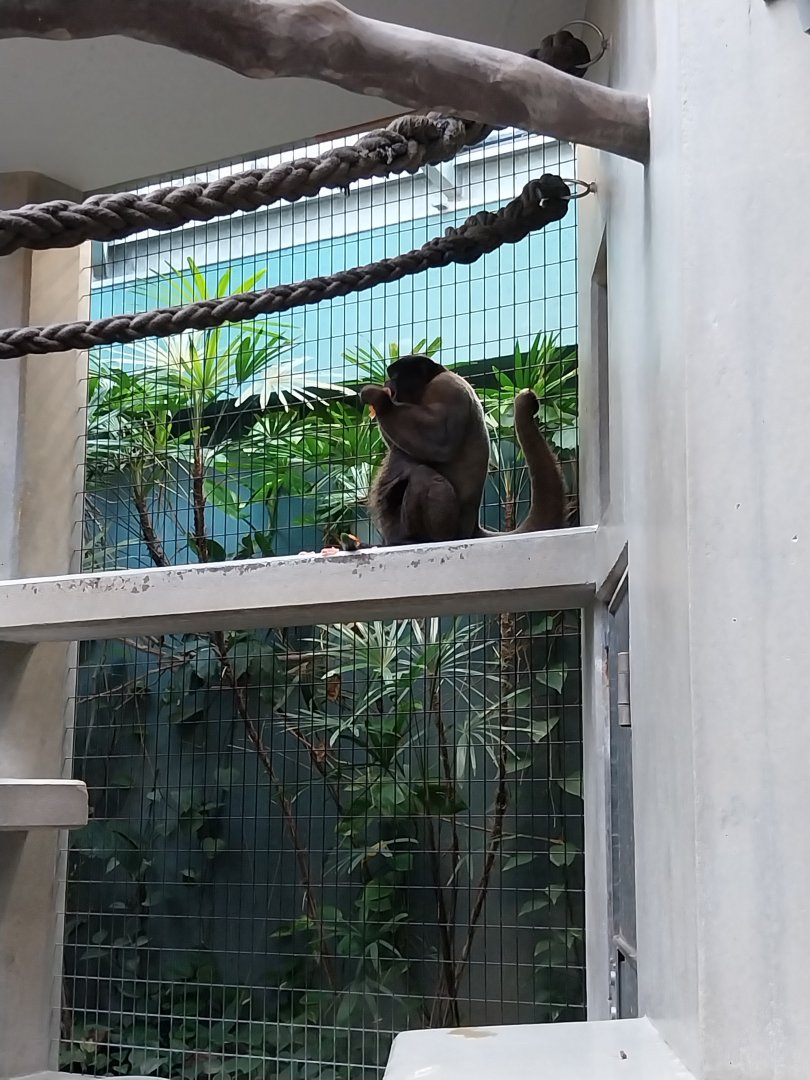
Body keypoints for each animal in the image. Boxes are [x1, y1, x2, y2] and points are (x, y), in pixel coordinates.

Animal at [321, 354, 565, 553]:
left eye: (396, 375)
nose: (388, 382)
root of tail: (471, 528)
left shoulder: (446, 387)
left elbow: (440, 441)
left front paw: (380, 400)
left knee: (424, 476)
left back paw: (416, 540)